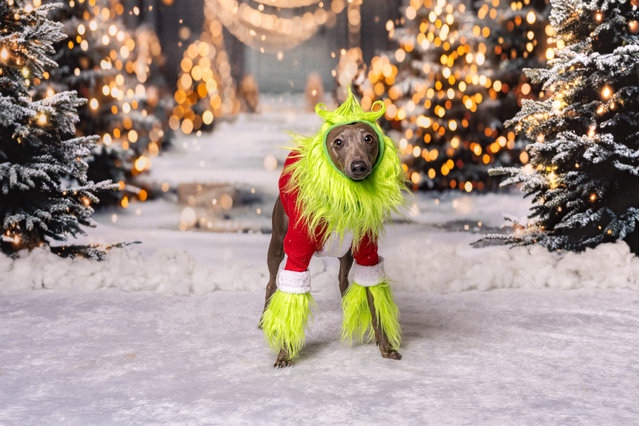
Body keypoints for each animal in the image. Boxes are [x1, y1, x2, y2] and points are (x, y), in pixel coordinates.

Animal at [258, 89, 404, 366]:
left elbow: (374, 298)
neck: (345, 197)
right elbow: (291, 295)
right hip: (277, 243)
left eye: (369, 138)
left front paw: (385, 346)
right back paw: (264, 319)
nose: (358, 166)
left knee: (343, 281)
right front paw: (285, 351)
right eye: (338, 142)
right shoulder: (297, 252)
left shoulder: (367, 253)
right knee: (272, 282)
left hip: (345, 255)